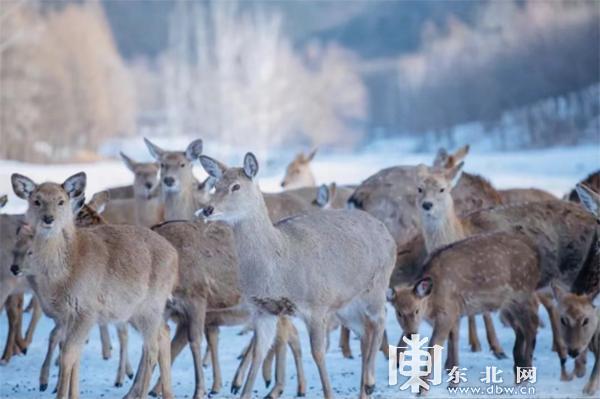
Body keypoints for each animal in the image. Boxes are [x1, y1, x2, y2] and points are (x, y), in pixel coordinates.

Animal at [10, 173, 177, 399]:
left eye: (61, 201)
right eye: (36, 201)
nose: (48, 218)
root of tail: (174, 255)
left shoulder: (86, 310)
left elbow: (67, 354)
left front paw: (58, 391)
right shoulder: (67, 316)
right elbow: (72, 353)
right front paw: (71, 393)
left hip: (150, 305)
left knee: (151, 348)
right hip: (136, 310)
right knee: (163, 334)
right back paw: (166, 393)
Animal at [198, 153, 398, 399]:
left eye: (236, 186)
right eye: (215, 185)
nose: (207, 210)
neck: (278, 267)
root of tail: (386, 232)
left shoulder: (316, 305)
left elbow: (318, 353)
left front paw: (328, 394)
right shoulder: (263, 310)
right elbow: (258, 353)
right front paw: (243, 390)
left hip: (377, 284)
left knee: (380, 319)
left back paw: (370, 381)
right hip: (346, 306)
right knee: (365, 332)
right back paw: (365, 389)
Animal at [386, 231, 540, 390]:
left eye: (416, 310)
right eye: (398, 312)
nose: (410, 334)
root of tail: (535, 253)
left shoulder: (448, 311)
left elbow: (435, 346)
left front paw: (424, 388)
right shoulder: (455, 314)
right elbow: (454, 342)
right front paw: (453, 382)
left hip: (521, 294)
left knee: (531, 326)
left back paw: (526, 374)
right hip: (510, 303)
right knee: (522, 328)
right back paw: (519, 371)